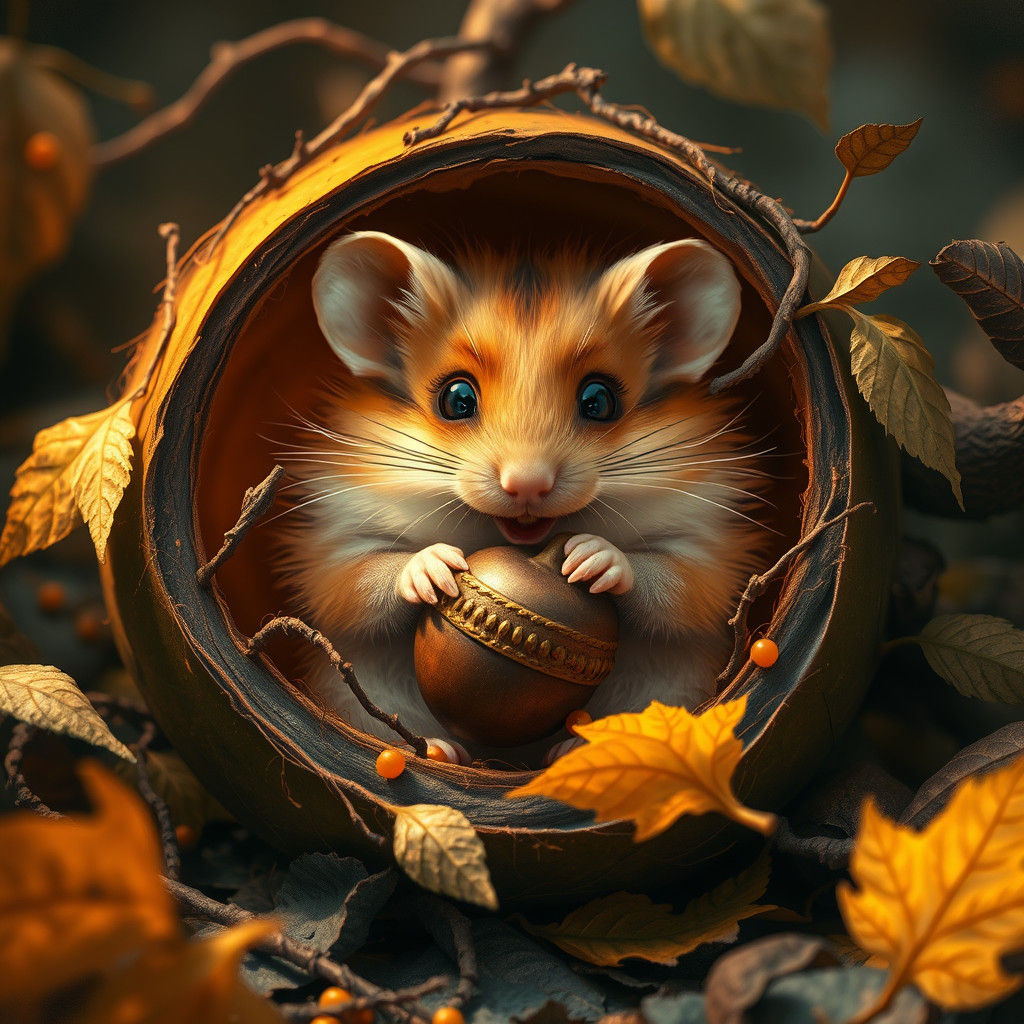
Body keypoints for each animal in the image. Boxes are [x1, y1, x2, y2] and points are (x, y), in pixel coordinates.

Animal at [274, 230, 772, 764]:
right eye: (456, 399)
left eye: (599, 400)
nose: (527, 486)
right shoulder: (335, 539)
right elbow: (353, 580)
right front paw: (437, 567)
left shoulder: (707, 544)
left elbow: (681, 583)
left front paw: (589, 557)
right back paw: (443, 749)